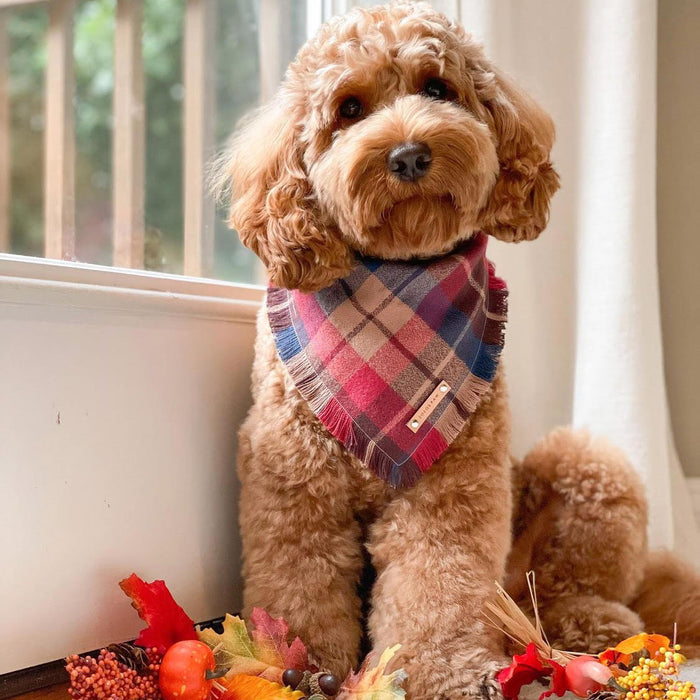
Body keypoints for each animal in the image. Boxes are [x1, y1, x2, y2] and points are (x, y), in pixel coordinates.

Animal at [216, 2, 696, 696]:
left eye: (437, 88)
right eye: (349, 108)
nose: (410, 154)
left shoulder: (451, 491)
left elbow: (436, 587)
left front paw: (448, 671)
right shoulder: (293, 482)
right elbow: (297, 583)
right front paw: (292, 665)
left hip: (589, 469)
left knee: (560, 589)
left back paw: (594, 626)